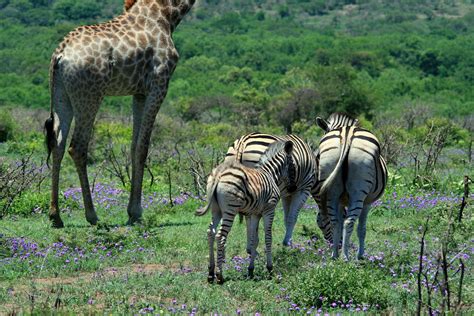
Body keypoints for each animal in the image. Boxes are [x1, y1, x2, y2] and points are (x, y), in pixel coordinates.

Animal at [43, 0, 194, 227]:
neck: (167, 15)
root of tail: (60, 55)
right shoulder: (159, 84)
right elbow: (143, 146)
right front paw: (136, 212)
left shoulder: (139, 92)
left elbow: (133, 145)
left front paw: (132, 212)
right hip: (89, 95)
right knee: (77, 147)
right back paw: (92, 215)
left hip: (62, 96)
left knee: (57, 144)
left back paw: (55, 216)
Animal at [194, 141, 294, 284]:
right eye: (292, 165)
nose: (292, 188)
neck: (270, 173)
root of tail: (219, 173)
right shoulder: (269, 209)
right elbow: (268, 238)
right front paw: (270, 269)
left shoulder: (255, 213)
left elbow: (254, 240)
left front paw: (251, 270)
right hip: (230, 209)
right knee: (220, 236)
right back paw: (219, 275)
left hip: (216, 209)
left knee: (211, 232)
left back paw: (210, 273)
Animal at [312, 112, 386, 260]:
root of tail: (346, 135)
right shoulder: (367, 202)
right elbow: (362, 228)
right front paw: (360, 255)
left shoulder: (340, 200)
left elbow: (339, 221)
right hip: (359, 190)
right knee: (349, 221)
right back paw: (345, 257)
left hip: (332, 189)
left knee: (335, 221)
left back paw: (335, 255)